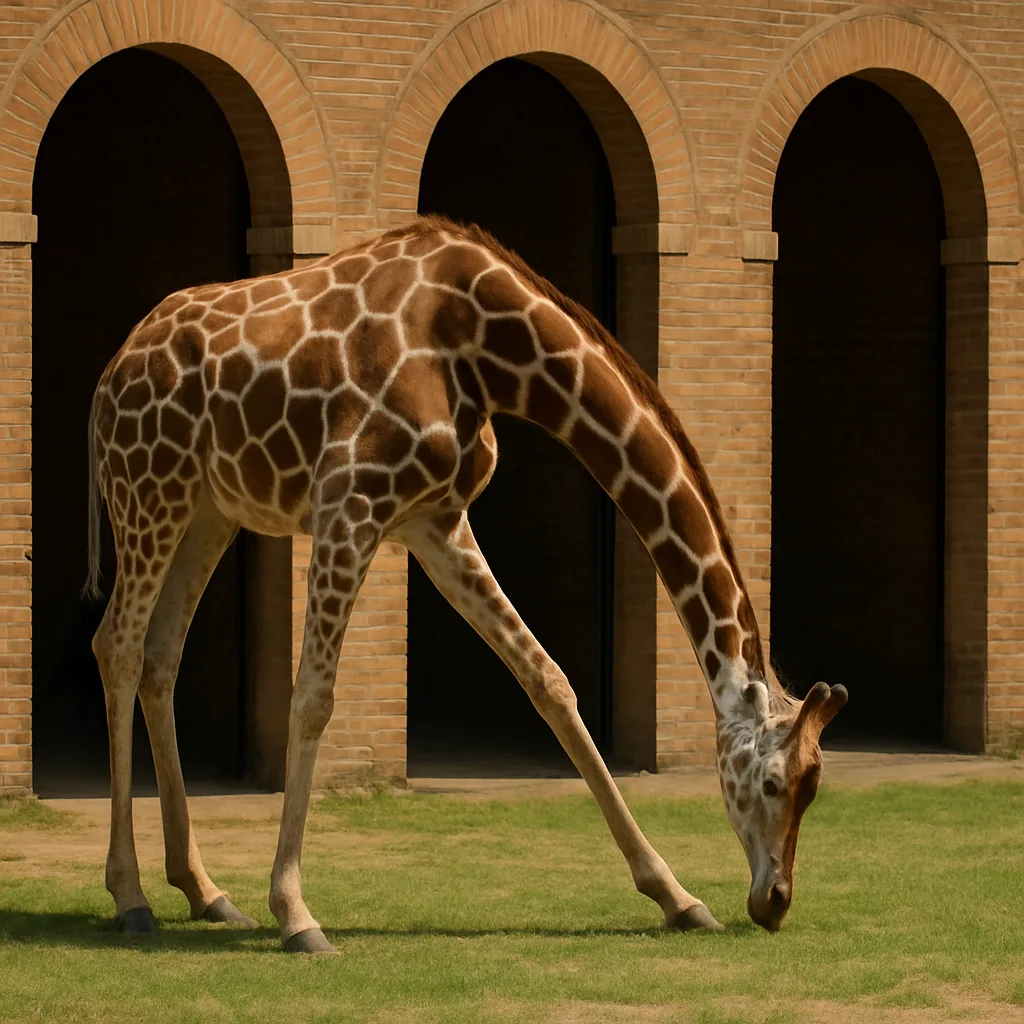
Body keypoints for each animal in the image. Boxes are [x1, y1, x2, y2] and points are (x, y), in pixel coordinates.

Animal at [83, 214, 847, 953]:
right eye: (773, 782)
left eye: (816, 788)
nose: (775, 903)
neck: (486, 344)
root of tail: (109, 375)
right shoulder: (349, 505)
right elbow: (312, 700)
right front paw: (296, 914)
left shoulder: (435, 522)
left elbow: (548, 681)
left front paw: (678, 898)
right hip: (150, 488)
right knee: (116, 644)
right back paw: (131, 897)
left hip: (208, 508)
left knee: (159, 655)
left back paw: (204, 891)